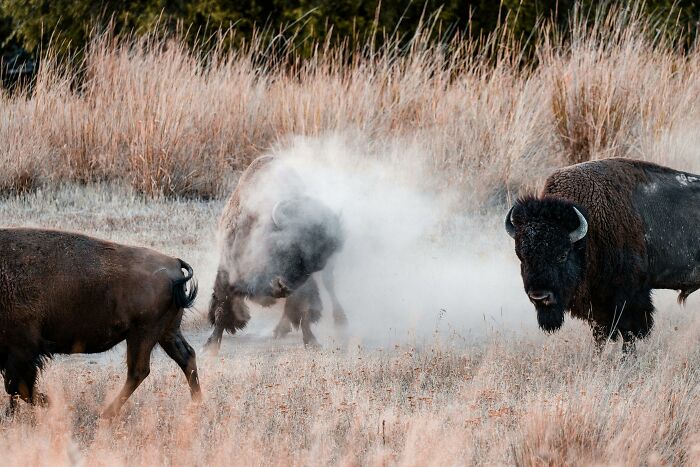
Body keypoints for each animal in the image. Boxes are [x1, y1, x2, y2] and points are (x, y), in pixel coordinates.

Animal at [0, 228, 201, 417]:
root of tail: (174, 263)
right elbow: (15, 388)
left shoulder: (23, 349)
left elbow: (18, 387)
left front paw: (54, 405)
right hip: (166, 332)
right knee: (186, 356)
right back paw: (197, 403)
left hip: (143, 334)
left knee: (139, 371)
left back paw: (106, 414)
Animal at [204, 155, 346, 353]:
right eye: (286, 246)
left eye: (314, 265)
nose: (282, 286)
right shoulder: (228, 270)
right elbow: (222, 306)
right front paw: (210, 347)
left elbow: (303, 309)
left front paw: (312, 342)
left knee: (328, 286)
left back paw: (338, 319)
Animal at [505, 158, 700, 352]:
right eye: (522, 257)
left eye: (562, 255)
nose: (540, 297)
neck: (590, 227)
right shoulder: (598, 305)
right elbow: (601, 334)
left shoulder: (628, 297)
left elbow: (629, 332)